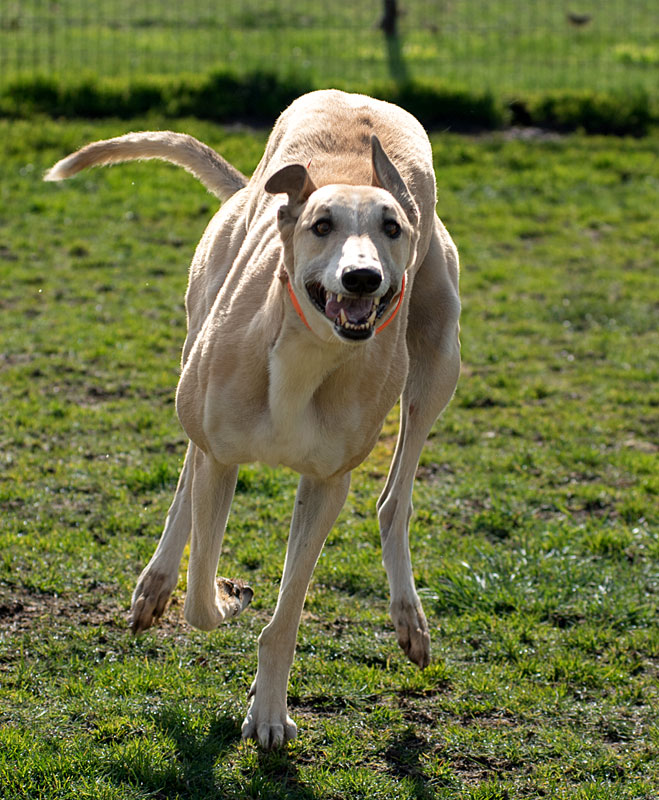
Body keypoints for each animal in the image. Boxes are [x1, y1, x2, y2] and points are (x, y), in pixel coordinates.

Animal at [46, 90, 462, 748]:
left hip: (438, 357)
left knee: (393, 501)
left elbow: (287, 614)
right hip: (197, 346)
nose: (363, 277)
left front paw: (267, 710)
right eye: (322, 225)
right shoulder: (222, 455)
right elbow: (199, 594)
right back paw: (156, 582)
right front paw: (228, 595)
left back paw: (409, 618)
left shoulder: (327, 482)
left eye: (392, 227)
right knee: (187, 476)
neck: (307, 354)